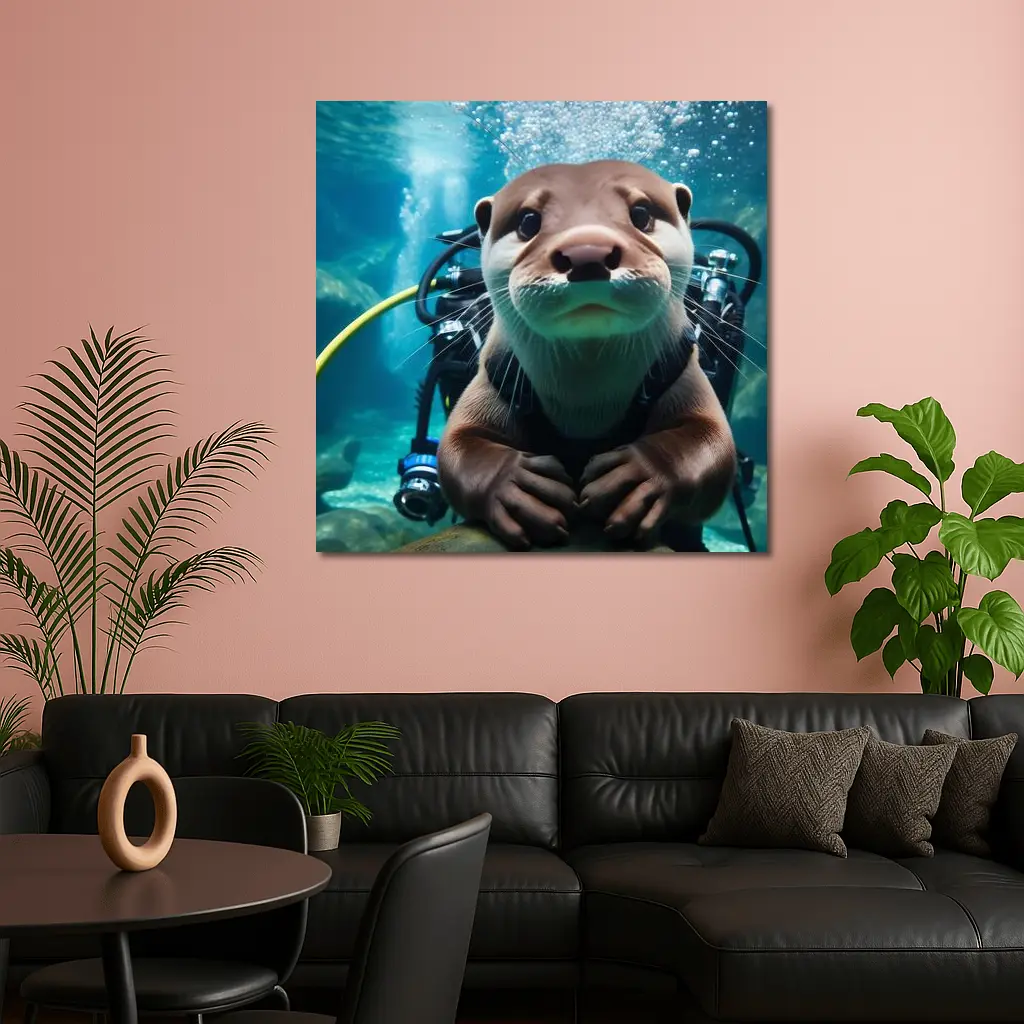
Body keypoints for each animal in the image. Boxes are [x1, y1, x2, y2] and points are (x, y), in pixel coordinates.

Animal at [437, 160, 737, 551]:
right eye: (528, 221)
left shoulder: (681, 368)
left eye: (641, 213)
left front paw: (639, 476)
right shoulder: (494, 373)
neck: (586, 402)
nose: (587, 252)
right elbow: (457, 446)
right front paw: (516, 485)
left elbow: (712, 444)